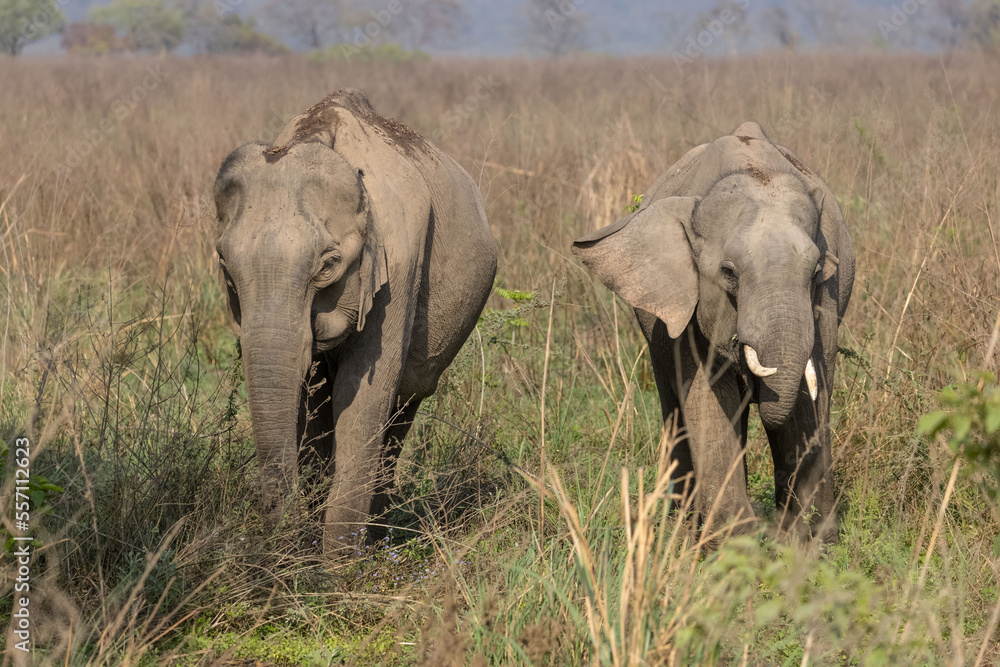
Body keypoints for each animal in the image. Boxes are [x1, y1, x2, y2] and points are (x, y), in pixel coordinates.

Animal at [214, 89, 497, 554]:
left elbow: (360, 393)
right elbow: (311, 399)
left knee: (402, 405)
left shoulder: (399, 265)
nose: (264, 503)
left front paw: (337, 569)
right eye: (224, 265)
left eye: (329, 265)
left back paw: (379, 544)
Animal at [572, 122, 854, 545]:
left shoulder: (826, 305)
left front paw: (812, 544)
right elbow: (707, 397)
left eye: (816, 273)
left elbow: (811, 394)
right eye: (729, 273)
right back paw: (683, 526)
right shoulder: (688, 311)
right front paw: (735, 542)